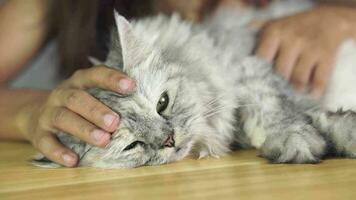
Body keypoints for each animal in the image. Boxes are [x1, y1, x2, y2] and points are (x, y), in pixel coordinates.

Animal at [32, 1, 356, 169]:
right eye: (132, 146)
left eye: (162, 103)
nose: (168, 140)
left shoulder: (251, 69)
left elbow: (273, 111)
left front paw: (297, 140)